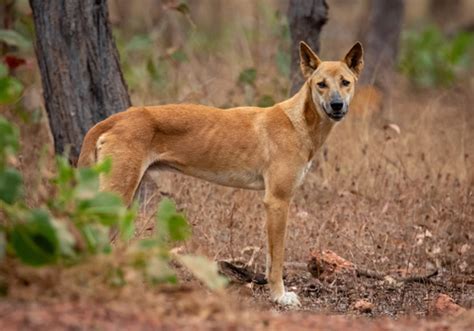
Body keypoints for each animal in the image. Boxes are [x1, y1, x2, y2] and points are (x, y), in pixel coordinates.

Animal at [79, 42, 364, 308]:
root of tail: (114, 118)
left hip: (128, 197)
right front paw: (279, 296)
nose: (337, 105)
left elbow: (270, 256)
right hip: (117, 195)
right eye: (321, 84)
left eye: (345, 82)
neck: (299, 124)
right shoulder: (278, 200)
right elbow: (278, 259)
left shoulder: (273, 203)